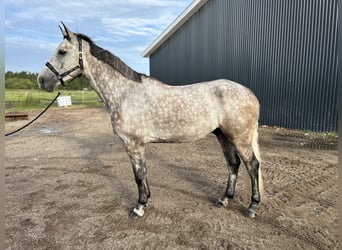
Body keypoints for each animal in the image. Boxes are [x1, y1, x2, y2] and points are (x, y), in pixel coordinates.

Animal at [37, 23, 264, 219]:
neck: (125, 93)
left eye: (62, 51)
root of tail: (249, 93)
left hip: (240, 138)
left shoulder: (133, 144)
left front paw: (139, 207)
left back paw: (252, 207)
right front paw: (145, 201)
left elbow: (138, 175)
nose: (42, 80)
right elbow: (143, 173)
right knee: (233, 165)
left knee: (252, 165)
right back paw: (224, 199)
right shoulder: (138, 145)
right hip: (223, 136)